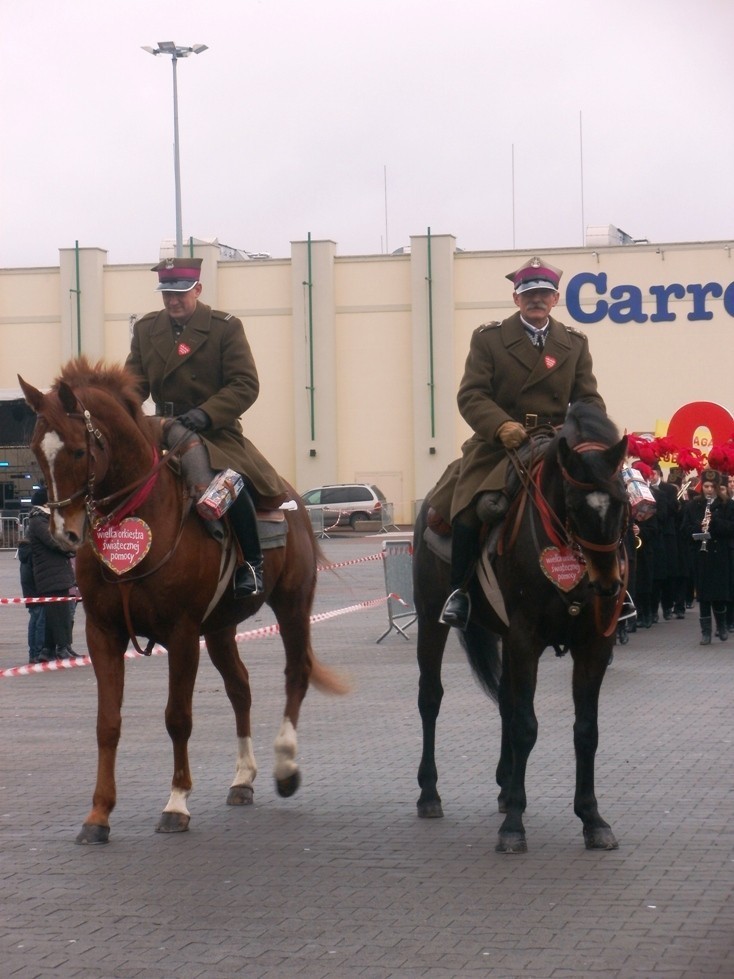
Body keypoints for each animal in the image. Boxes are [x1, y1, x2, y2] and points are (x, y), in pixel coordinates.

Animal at [20, 358, 348, 844]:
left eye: (78, 451)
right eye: (37, 453)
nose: (66, 534)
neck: (141, 513)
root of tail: (295, 503)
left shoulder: (181, 633)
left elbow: (178, 717)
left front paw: (176, 804)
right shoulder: (103, 633)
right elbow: (107, 724)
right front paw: (98, 815)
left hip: (291, 605)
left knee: (297, 673)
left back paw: (285, 766)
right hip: (221, 628)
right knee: (240, 688)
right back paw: (242, 779)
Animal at [416, 402, 628, 852]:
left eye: (621, 501)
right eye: (574, 504)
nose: (607, 586)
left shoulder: (593, 645)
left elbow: (586, 730)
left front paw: (592, 818)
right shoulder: (525, 638)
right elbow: (526, 727)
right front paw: (513, 824)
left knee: (505, 701)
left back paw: (504, 785)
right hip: (430, 619)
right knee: (431, 697)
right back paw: (429, 793)